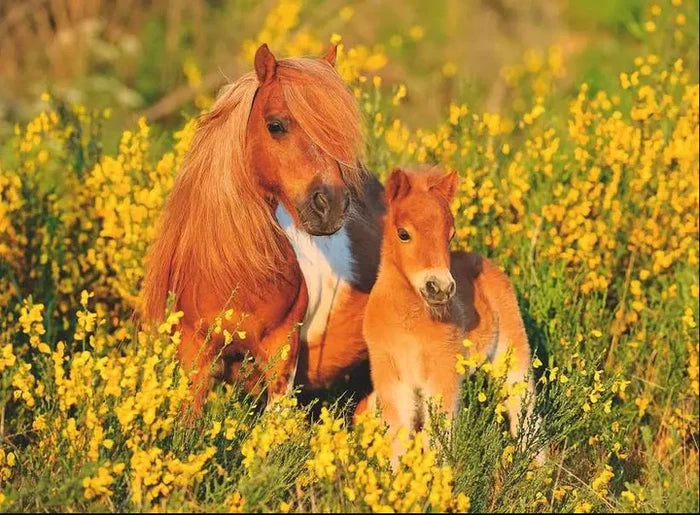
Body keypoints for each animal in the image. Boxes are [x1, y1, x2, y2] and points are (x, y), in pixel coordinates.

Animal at [360, 167, 536, 463]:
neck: (408, 323)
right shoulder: (391, 378)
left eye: (450, 235)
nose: (440, 287)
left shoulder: (441, 375)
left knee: (523, 407)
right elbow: (397, 437)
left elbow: (438, 439)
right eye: (403, 234)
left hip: (511, 350)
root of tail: (483, 260)